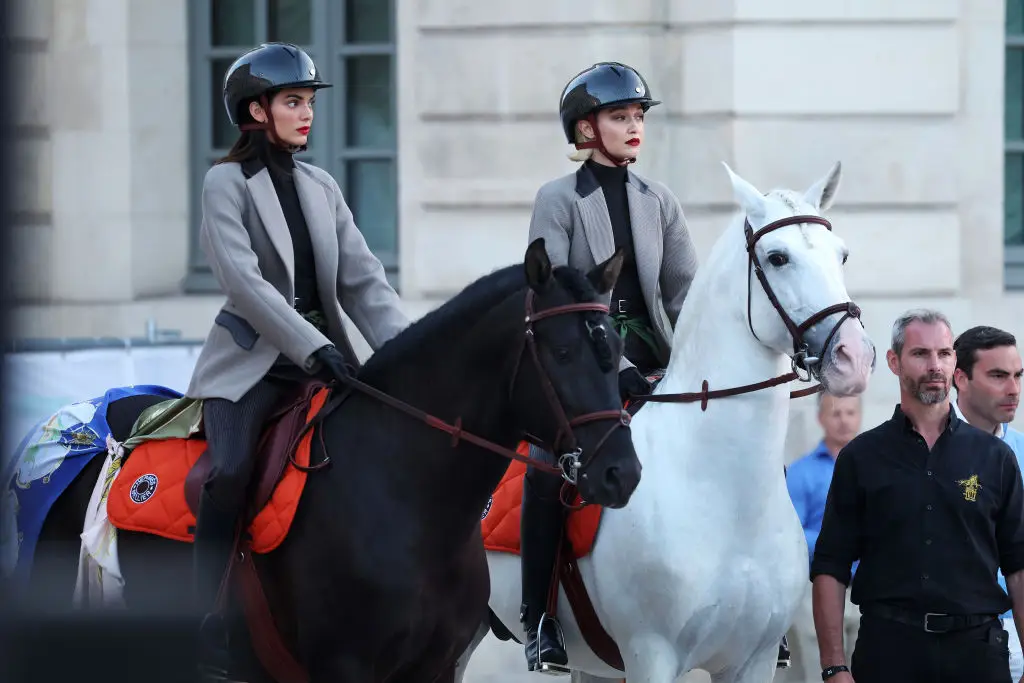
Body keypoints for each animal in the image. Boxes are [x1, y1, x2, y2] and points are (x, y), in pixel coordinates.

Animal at [9, 239, 644, 683]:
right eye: (562, 352)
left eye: (615, 349)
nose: (623, 473)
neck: (406, 495)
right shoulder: (345, 666)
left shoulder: (436, 668)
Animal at [454, 162, 878, 683]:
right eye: (778, 258)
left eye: (842, 255)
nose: (853, 357)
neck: (722, 491)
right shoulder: (651, 655)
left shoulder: (752, 661)